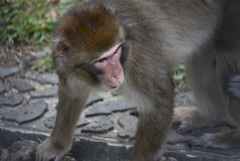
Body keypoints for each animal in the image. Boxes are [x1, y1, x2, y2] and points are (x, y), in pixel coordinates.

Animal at [34, 0, 228, 161]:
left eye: (115, 52)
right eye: (102, 60)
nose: (117, 73)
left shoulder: (140, 61)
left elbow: (158, 102)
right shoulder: (64, 65)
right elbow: (72, 95)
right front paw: (57, 145)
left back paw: (226, 138)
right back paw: (210, 116)